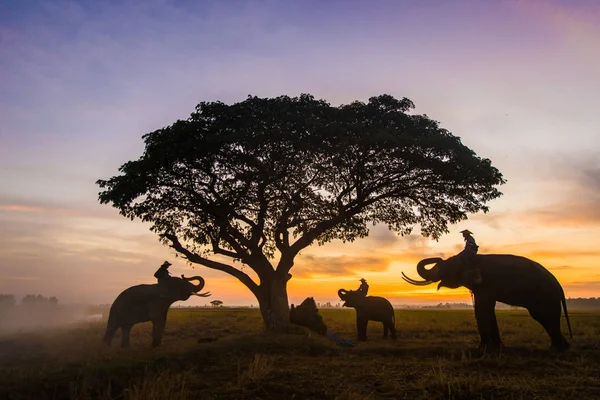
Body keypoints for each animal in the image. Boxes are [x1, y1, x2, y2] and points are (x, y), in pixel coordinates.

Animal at [404, 255, 572, 352]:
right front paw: (497, 347)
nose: (438, 258)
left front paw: (481, 348)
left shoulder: (486, 284)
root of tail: (559, 287)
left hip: (544, 297)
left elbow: (482, 308)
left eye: (448, 266)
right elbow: (488, 309)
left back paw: (559, 348)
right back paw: (559, 347)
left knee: (544, 317)